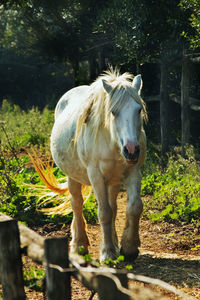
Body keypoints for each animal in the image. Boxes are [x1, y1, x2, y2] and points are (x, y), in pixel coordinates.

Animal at [34, 68, 147, 260]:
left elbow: (134, 207)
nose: (131, 150)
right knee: (77, 204)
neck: (112, 141)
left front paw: (129, 247)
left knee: (114, 206)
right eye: (113, 112)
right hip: (72, 176)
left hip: (113, 181)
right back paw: (79, 244)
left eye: (138, 110)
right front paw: (107, 252)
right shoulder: (96, 175)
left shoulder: (133, 172)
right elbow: (104, 213)